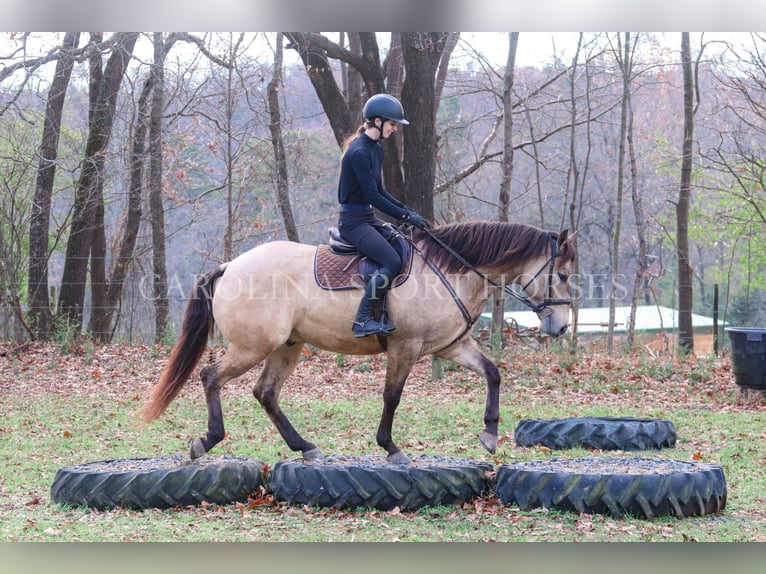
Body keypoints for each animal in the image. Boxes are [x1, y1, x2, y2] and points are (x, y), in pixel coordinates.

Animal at [141, 222, 580, 468]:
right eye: (560, 275)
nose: (560, 327)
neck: (451, 269)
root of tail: (231, 265)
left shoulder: (450, 347)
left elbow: (492, 373)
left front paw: (489, 434)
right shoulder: (406, 347)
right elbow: (392, 397)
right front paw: (391, 447)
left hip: (286, 346)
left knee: (265, 393)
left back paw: (305, 447)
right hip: (254, 346)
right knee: (210, 377)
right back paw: (207, 440)